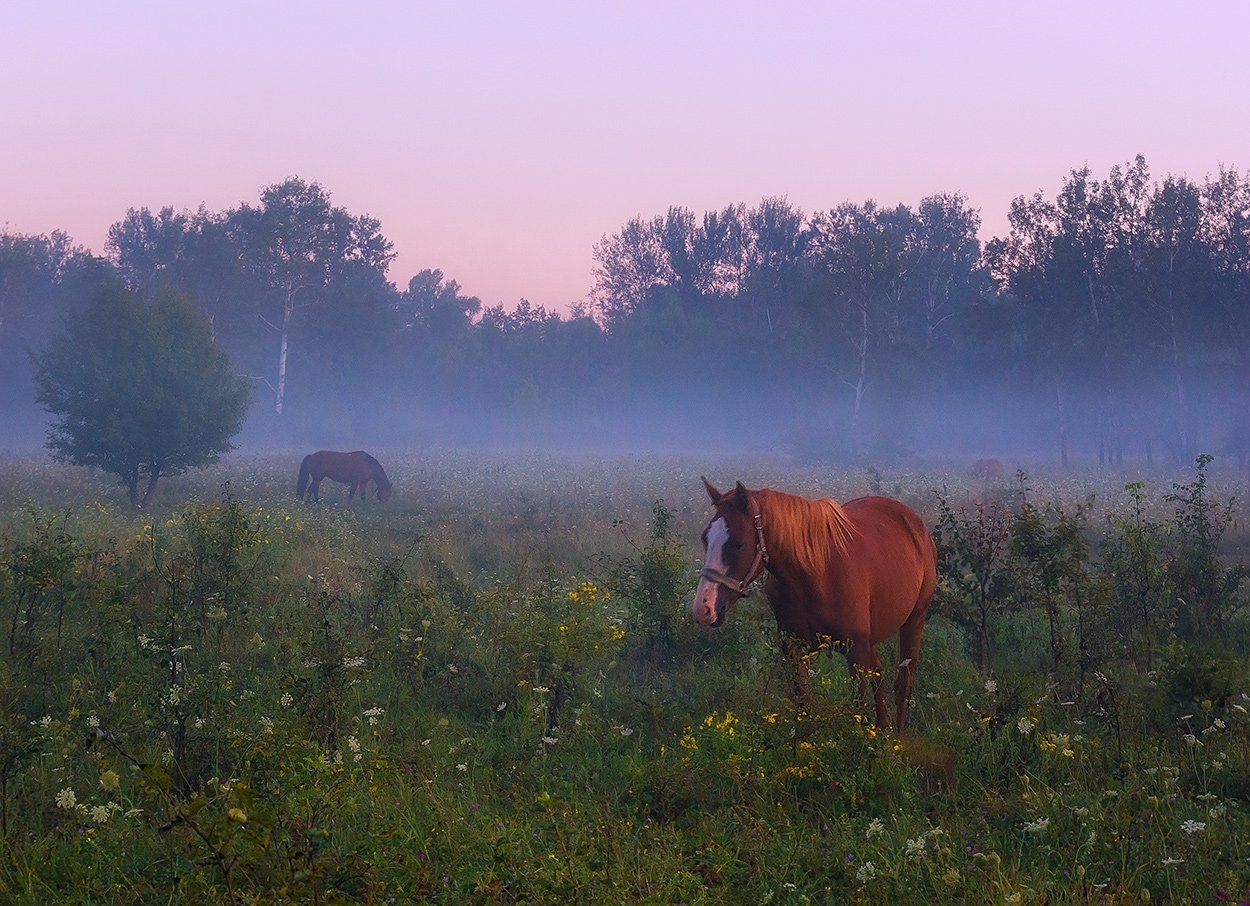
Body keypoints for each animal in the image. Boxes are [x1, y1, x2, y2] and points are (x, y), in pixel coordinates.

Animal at [695, 477, 940, 729]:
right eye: (705, 538)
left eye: (739, 544)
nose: (703, 607)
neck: (815, 574)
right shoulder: (793, 649)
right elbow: (805, 708)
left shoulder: (855, 651)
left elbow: (858, 709)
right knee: (879, 673)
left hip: (914, 620)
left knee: (903, 685)